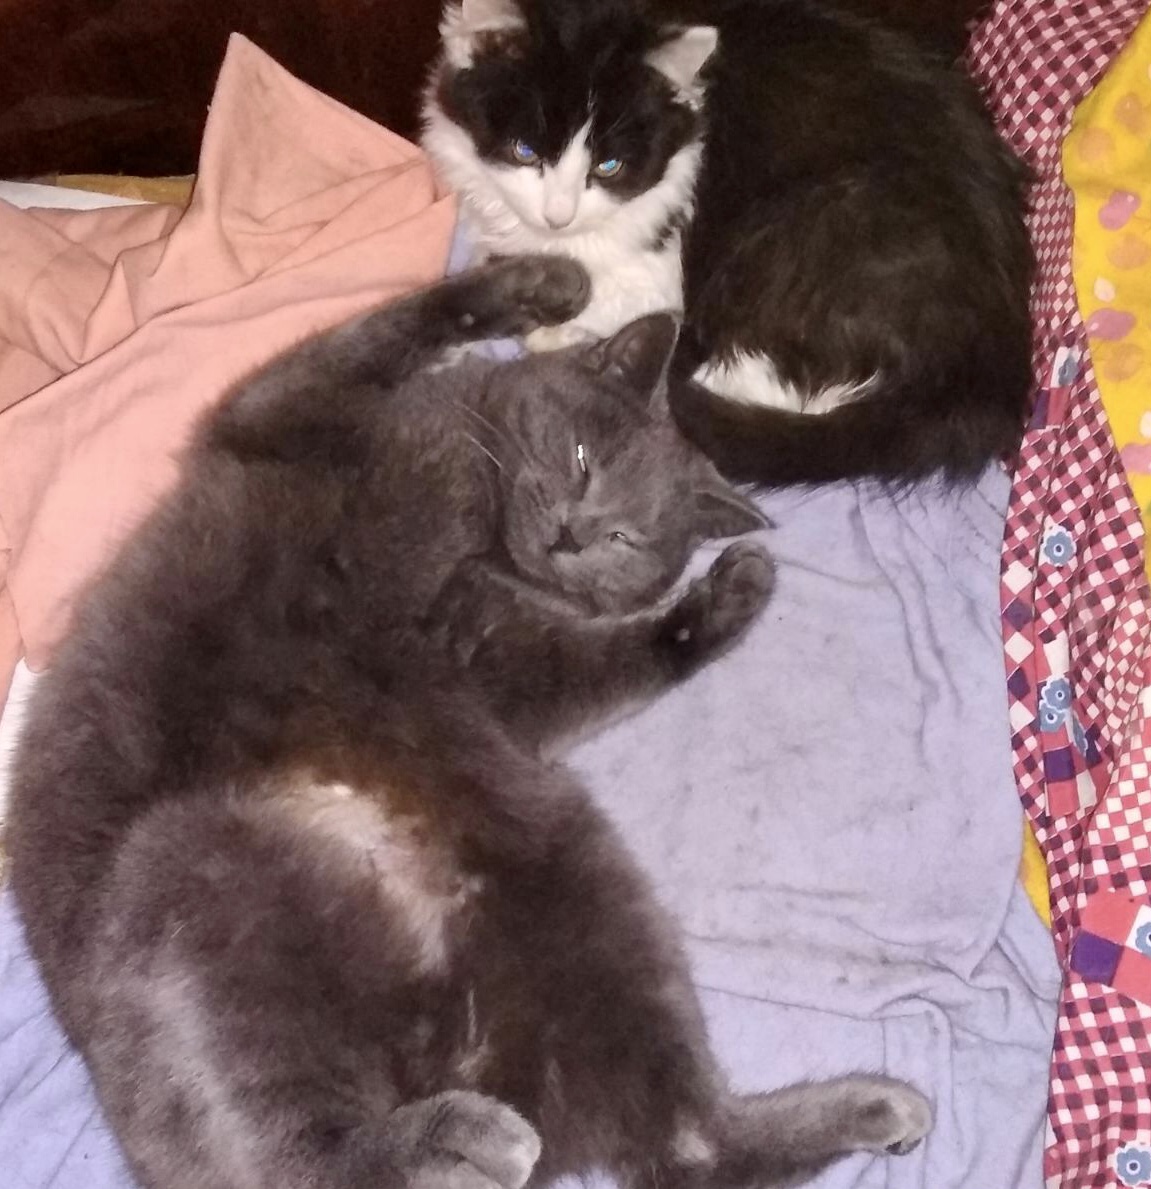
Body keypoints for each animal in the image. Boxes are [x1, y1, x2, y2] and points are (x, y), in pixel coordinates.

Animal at [7, 254, 932, 1189]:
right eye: (581, 458)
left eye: (627, 538)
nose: (570, 535)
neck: (481, 537)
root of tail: (467, 1053)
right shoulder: (286, 408)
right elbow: (394, 327)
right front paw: (547, 285)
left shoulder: (496, 663)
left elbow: (599, 664)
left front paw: (723, 597)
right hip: (190, 880)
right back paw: (471, 1136)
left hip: (582, 894)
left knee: (690, 1146)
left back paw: (874, 1109)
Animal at [421, 0, 1033, 485]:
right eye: (525, 151)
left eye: (608, 167)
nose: (557, 215)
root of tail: (983, 372)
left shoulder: (664, 260)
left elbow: (608, 292)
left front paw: (551, 320)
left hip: (809, 230)